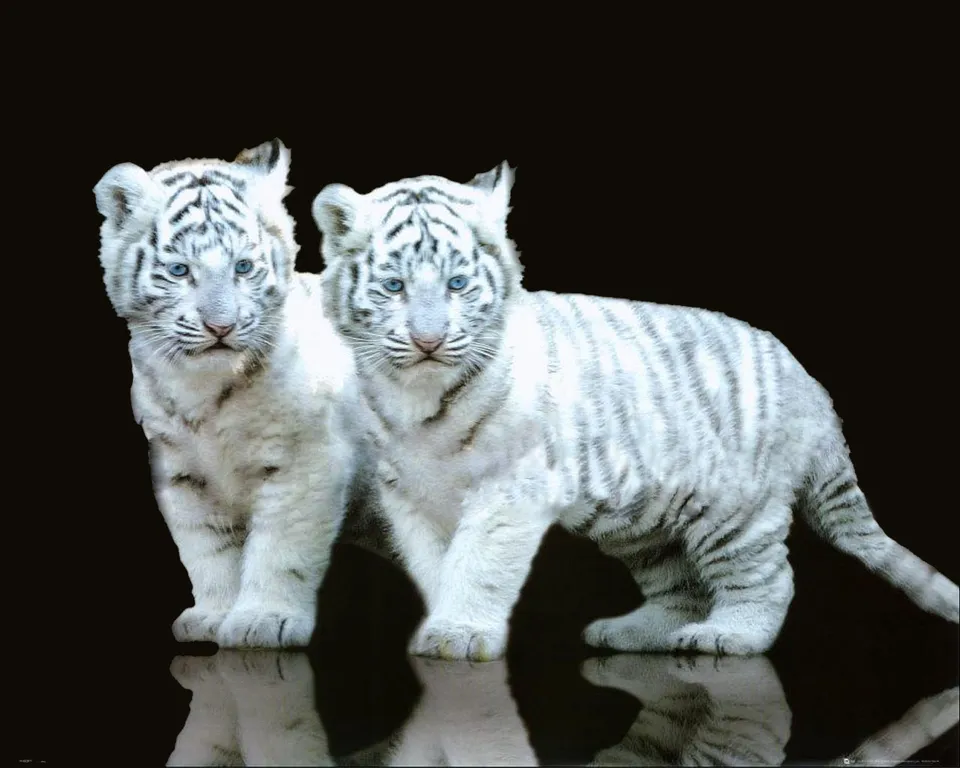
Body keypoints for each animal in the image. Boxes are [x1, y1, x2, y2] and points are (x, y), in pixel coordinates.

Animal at [94, 139, 364, 648]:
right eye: (179, 270)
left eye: (244, 267)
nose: (221, 327)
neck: (203, 390)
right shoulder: (181, 471)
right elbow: (207, 548)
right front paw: (212, 615)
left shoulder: (306, 460)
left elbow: (280, 547)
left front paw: (265, 620)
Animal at [308, 162, 959, 662]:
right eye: (394, 287)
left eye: (458, 285)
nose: (428, 341)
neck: (418, 397)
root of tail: (811, 386)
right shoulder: (410, 495)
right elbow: (434, 565)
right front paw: (441, 624)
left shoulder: (508, 490)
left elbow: (480, 563)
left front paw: (460, 633)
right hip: (646, 523)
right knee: (680, 587)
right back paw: (631, 632)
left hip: (737, 508)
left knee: (768, 578)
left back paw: (728, 636)